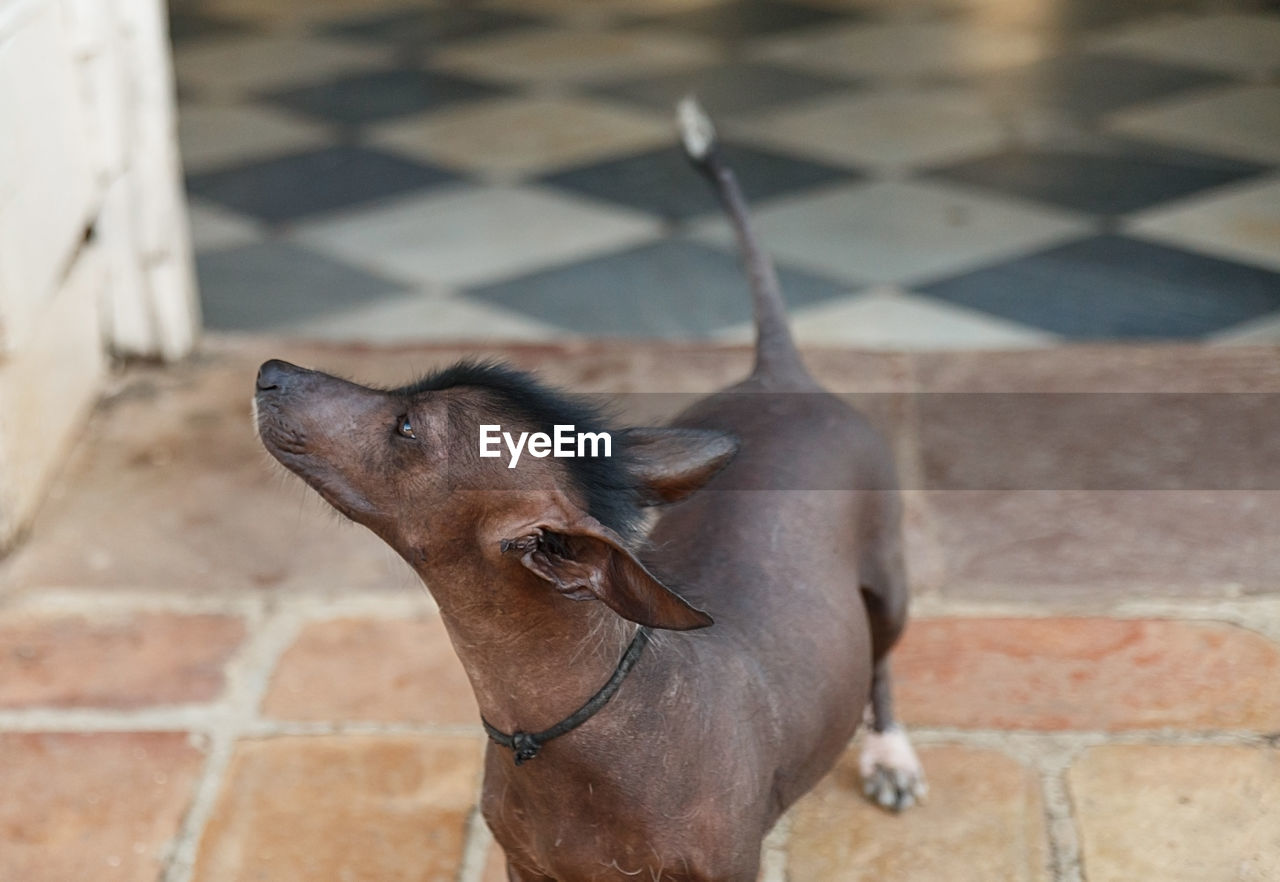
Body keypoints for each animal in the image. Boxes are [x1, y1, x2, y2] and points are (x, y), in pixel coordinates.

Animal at [254, 97, 926, 880]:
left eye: (407, 425)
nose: (269, 371)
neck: (561, 730)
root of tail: (778, 372)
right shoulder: (524, 866)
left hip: (888, 582)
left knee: (881, 660)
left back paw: (890, 754)